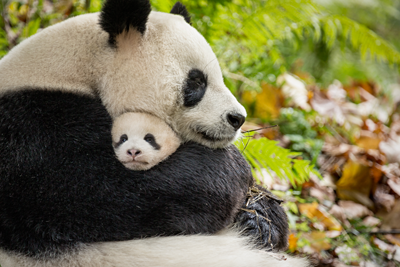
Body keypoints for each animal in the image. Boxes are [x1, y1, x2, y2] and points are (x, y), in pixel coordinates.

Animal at [0, 0, 306, 267]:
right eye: (196, 81)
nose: (237, 118)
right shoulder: (34, 133)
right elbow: (107, 192)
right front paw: (232, 168)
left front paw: (259, 220)